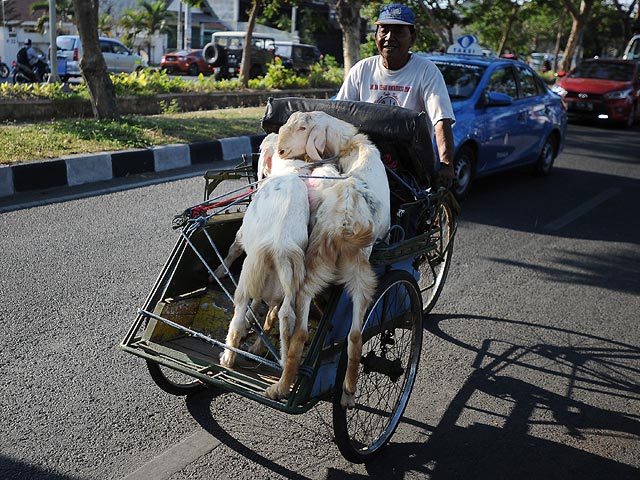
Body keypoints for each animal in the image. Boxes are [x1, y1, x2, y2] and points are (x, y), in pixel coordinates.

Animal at [276, 112, 390, 408]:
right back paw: (347, 392)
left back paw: (283, 386)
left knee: (308, 329)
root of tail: (344, 223)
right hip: (358, 272)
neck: (350, 144)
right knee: (355, 334)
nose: (280, 151)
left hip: (320, 265)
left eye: (303, 128)